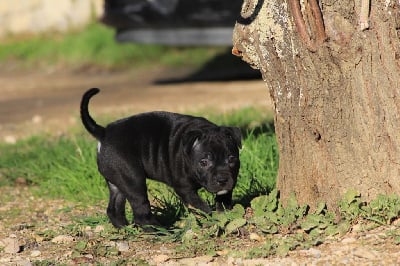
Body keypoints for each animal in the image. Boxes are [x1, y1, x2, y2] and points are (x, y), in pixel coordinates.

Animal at [79, 88, 239, 228]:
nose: (222, 180)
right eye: (204, 162)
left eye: (232, 159)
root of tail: (104, 132)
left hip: (118, 182)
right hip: (133, 181)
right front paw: (211, 217)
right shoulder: (184, 189)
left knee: (114, 209)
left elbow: (223, 200)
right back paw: (161, 231)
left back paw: (125, 228)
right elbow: (201, 206)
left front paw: (225, 215)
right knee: (141, 212)